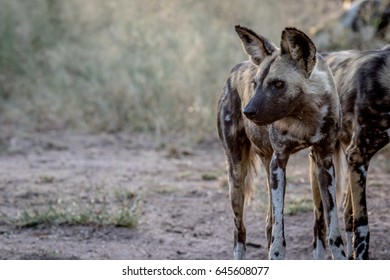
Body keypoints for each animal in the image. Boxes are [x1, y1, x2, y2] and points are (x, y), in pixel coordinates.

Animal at [218, 25, 346, 260]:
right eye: (255, 84)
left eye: (278, 84)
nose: (247, 112)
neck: (304, 115)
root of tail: (236, 68)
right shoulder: (279, 162)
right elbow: (279, 233)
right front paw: (276, 253)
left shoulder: (324, 162)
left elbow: (333, 230)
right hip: (237, 174)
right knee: (240, 231)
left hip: (285, 167)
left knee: (270, 222)